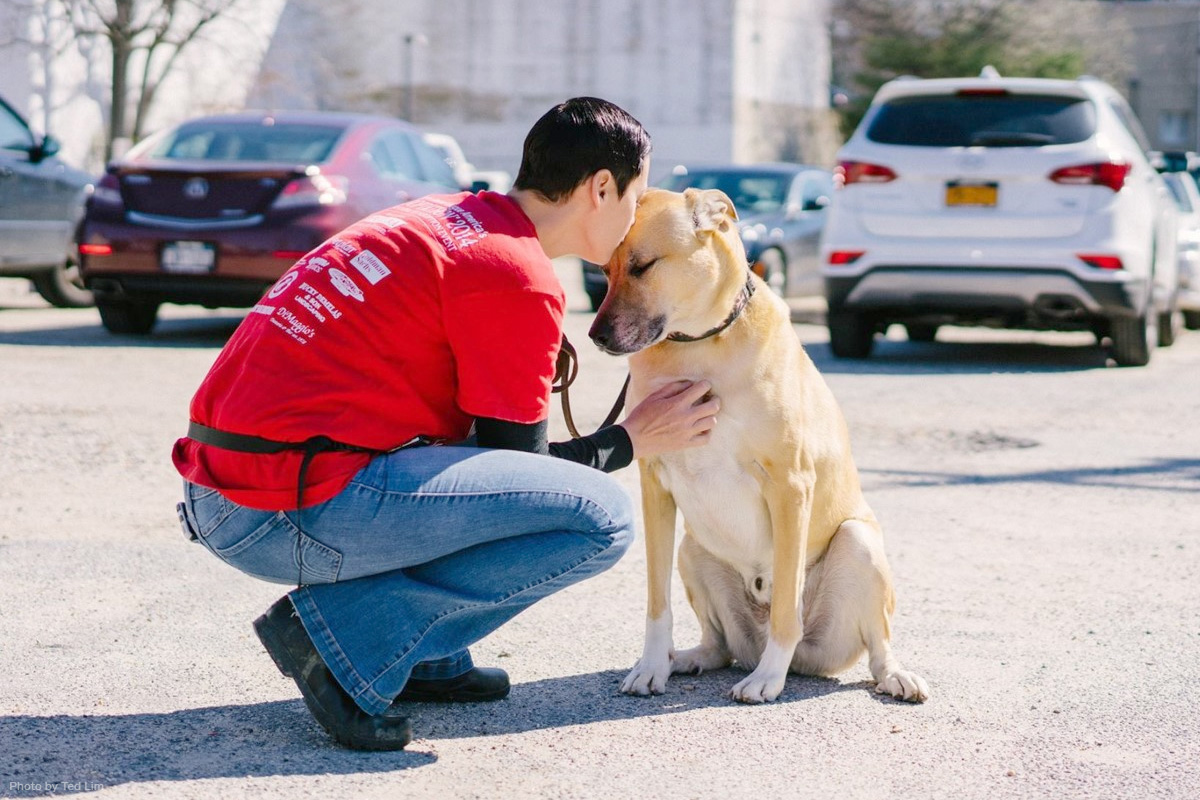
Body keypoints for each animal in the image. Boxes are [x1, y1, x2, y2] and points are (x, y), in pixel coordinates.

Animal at [590, 188, 926, 700]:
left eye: (643, 266)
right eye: (605, 271)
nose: (595, 336)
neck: (699, 346)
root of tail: (806, 664)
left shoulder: (790, 486)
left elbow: (787, 605)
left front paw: (768, 678)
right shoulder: (655, 488)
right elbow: (656, 603)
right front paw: (651, 666)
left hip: (859, 542)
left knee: (874, 645)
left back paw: (886, 674)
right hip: (692, 548)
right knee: (719, 646)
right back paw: (687, 659)